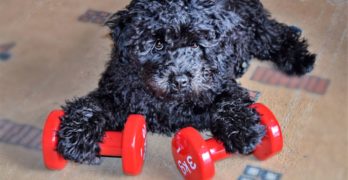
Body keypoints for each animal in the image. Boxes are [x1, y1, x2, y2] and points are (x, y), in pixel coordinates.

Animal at [56, 0, 316, 165]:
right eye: (157, 44)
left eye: (195, 44)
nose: (180, 80)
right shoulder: (116, 90)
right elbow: (93, 106)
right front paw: (76, 135)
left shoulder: (219, 84)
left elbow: (228, 102)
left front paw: (244, 130)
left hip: (255, 24)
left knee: (278, 35)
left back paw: (301, 60)